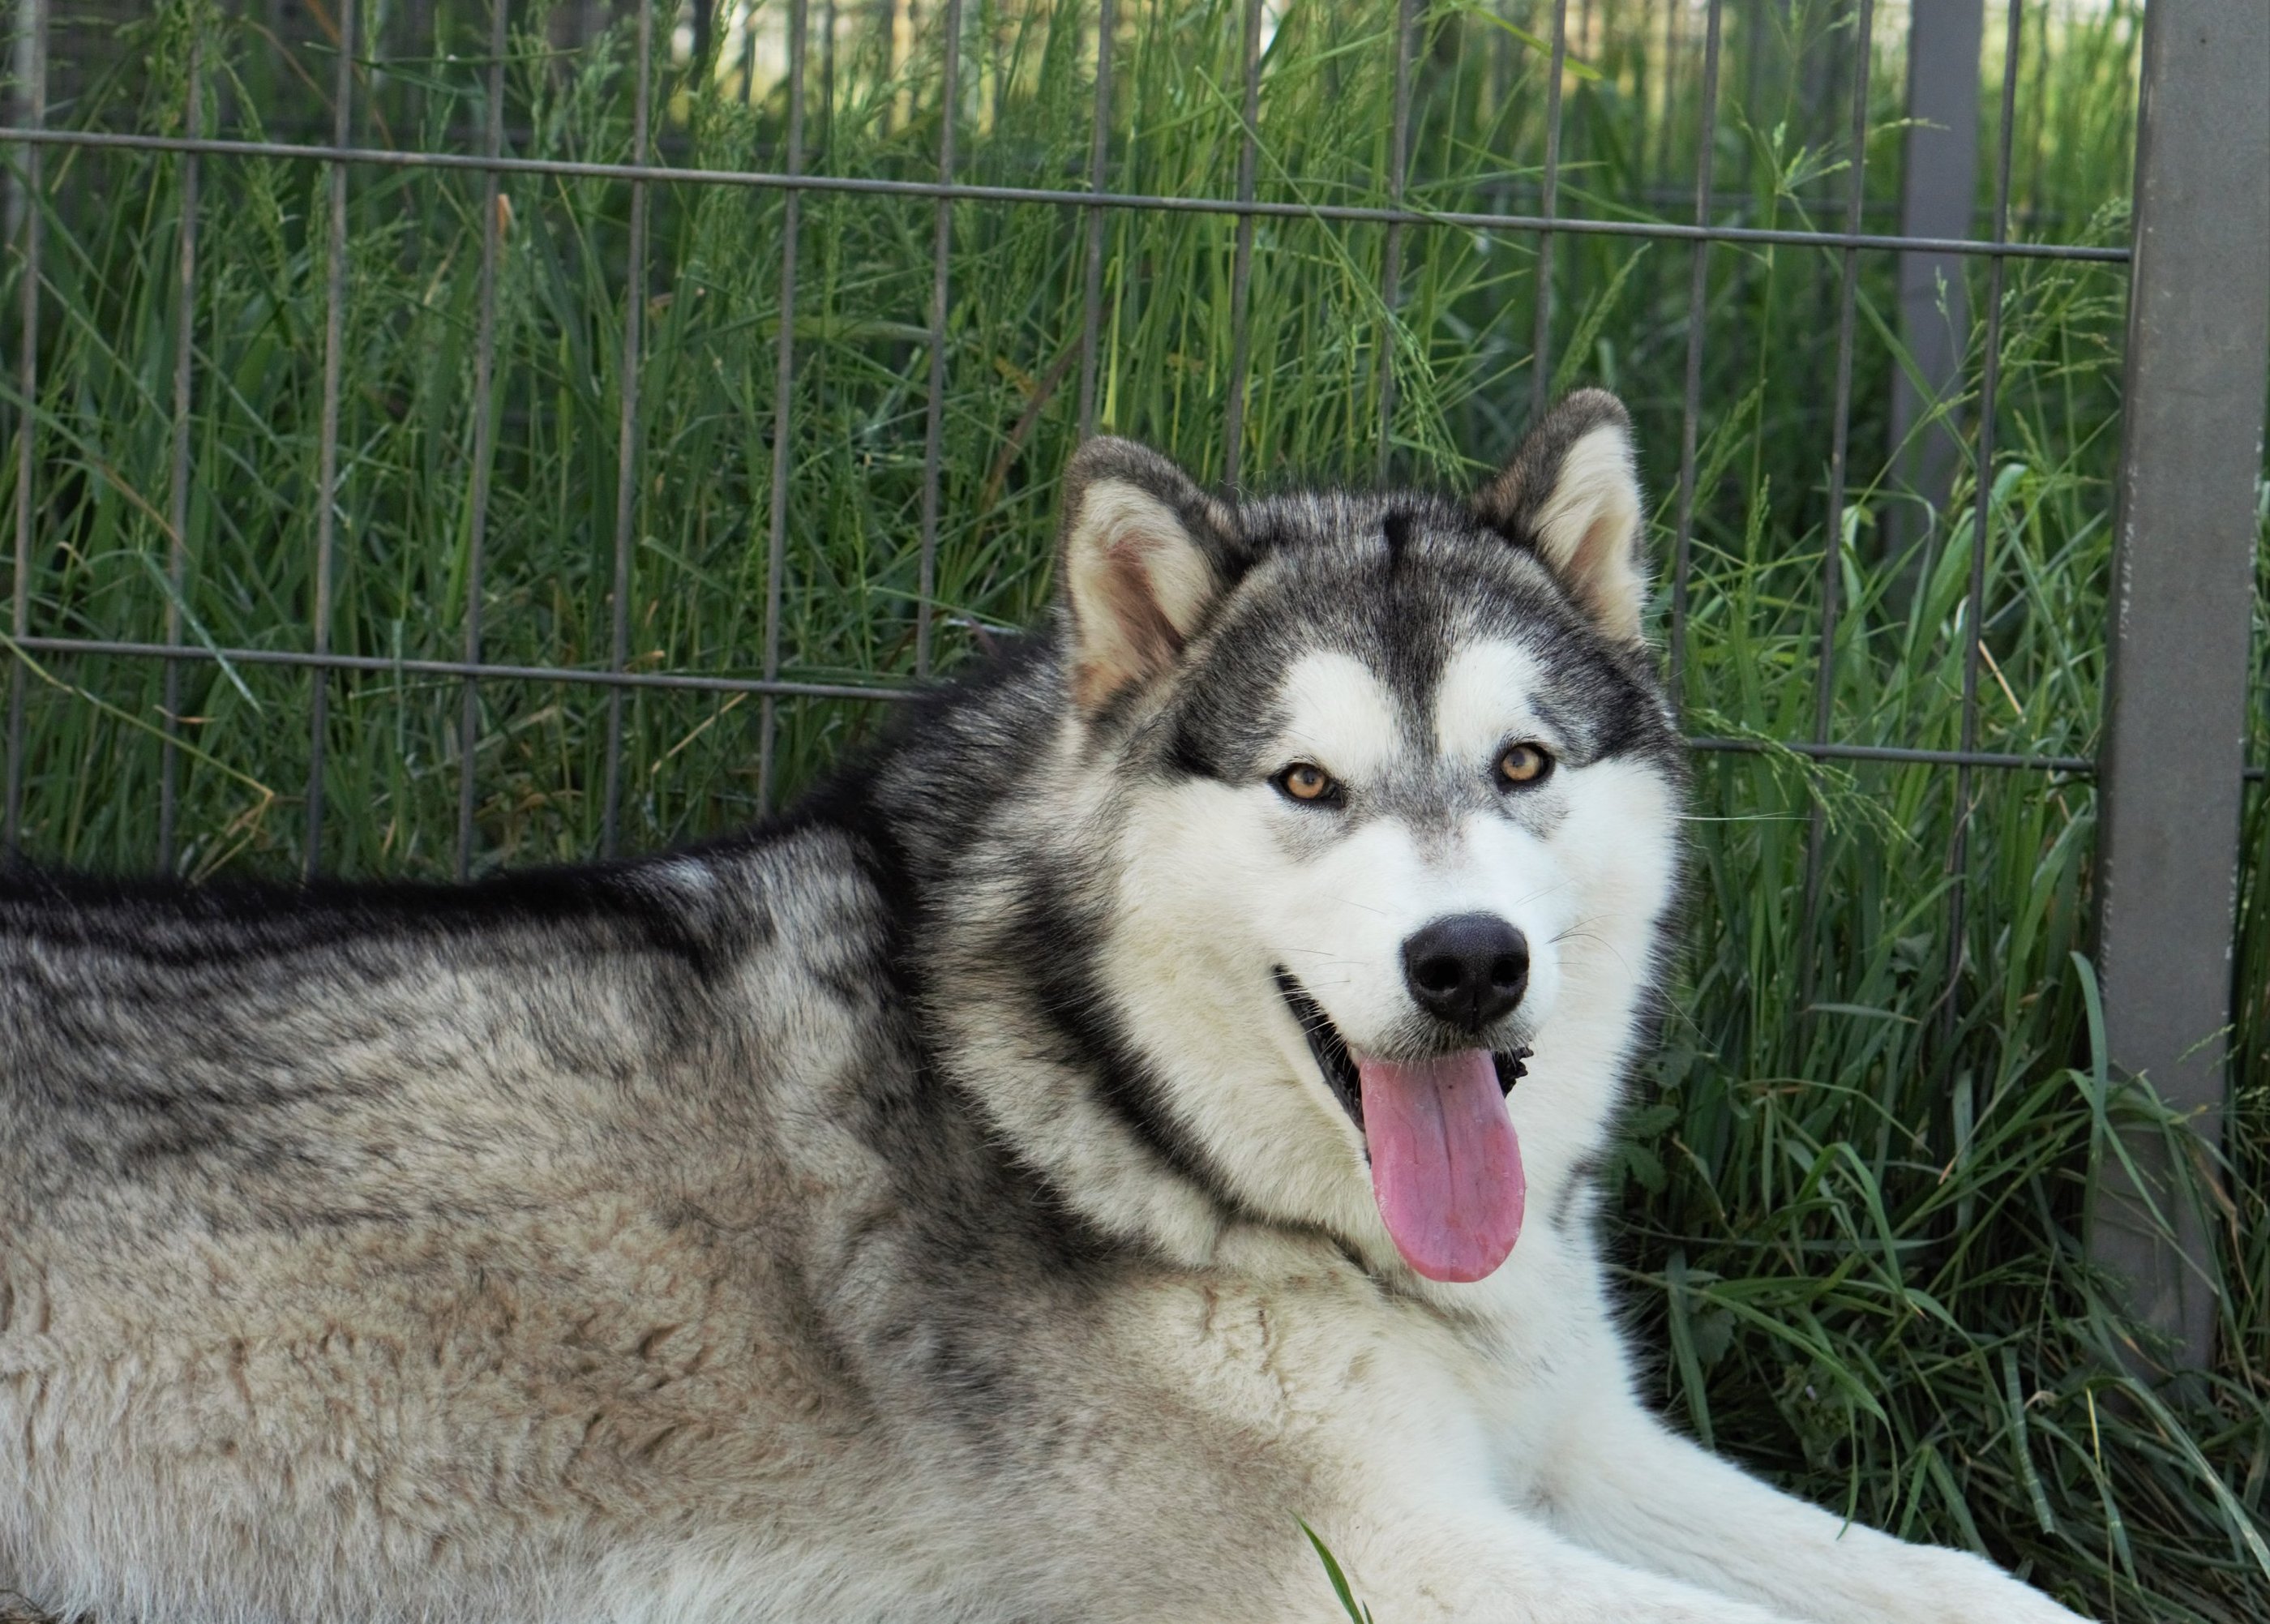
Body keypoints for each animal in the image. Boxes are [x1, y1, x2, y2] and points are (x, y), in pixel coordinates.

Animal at [1, 391, 2089, 1623]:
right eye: (1306, 783)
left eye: (1521, 764)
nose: (1468, 960)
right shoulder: (1353, 1549)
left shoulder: (1574, 1448)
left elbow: (1968, 1583)